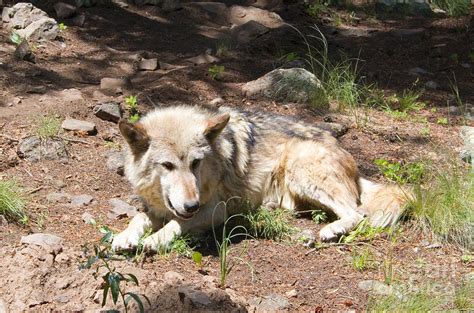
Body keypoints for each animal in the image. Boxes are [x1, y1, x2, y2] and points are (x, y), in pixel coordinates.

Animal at [111, 105, 408, 251]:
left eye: (196, 163)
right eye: (167, 165)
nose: (191, 205)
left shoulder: (215, 210)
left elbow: (175, 224)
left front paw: (153, 240)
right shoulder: (157, 208)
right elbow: (139, 218)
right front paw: (124, 237)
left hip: (301, 167)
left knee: (357, 213)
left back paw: (330, 230)